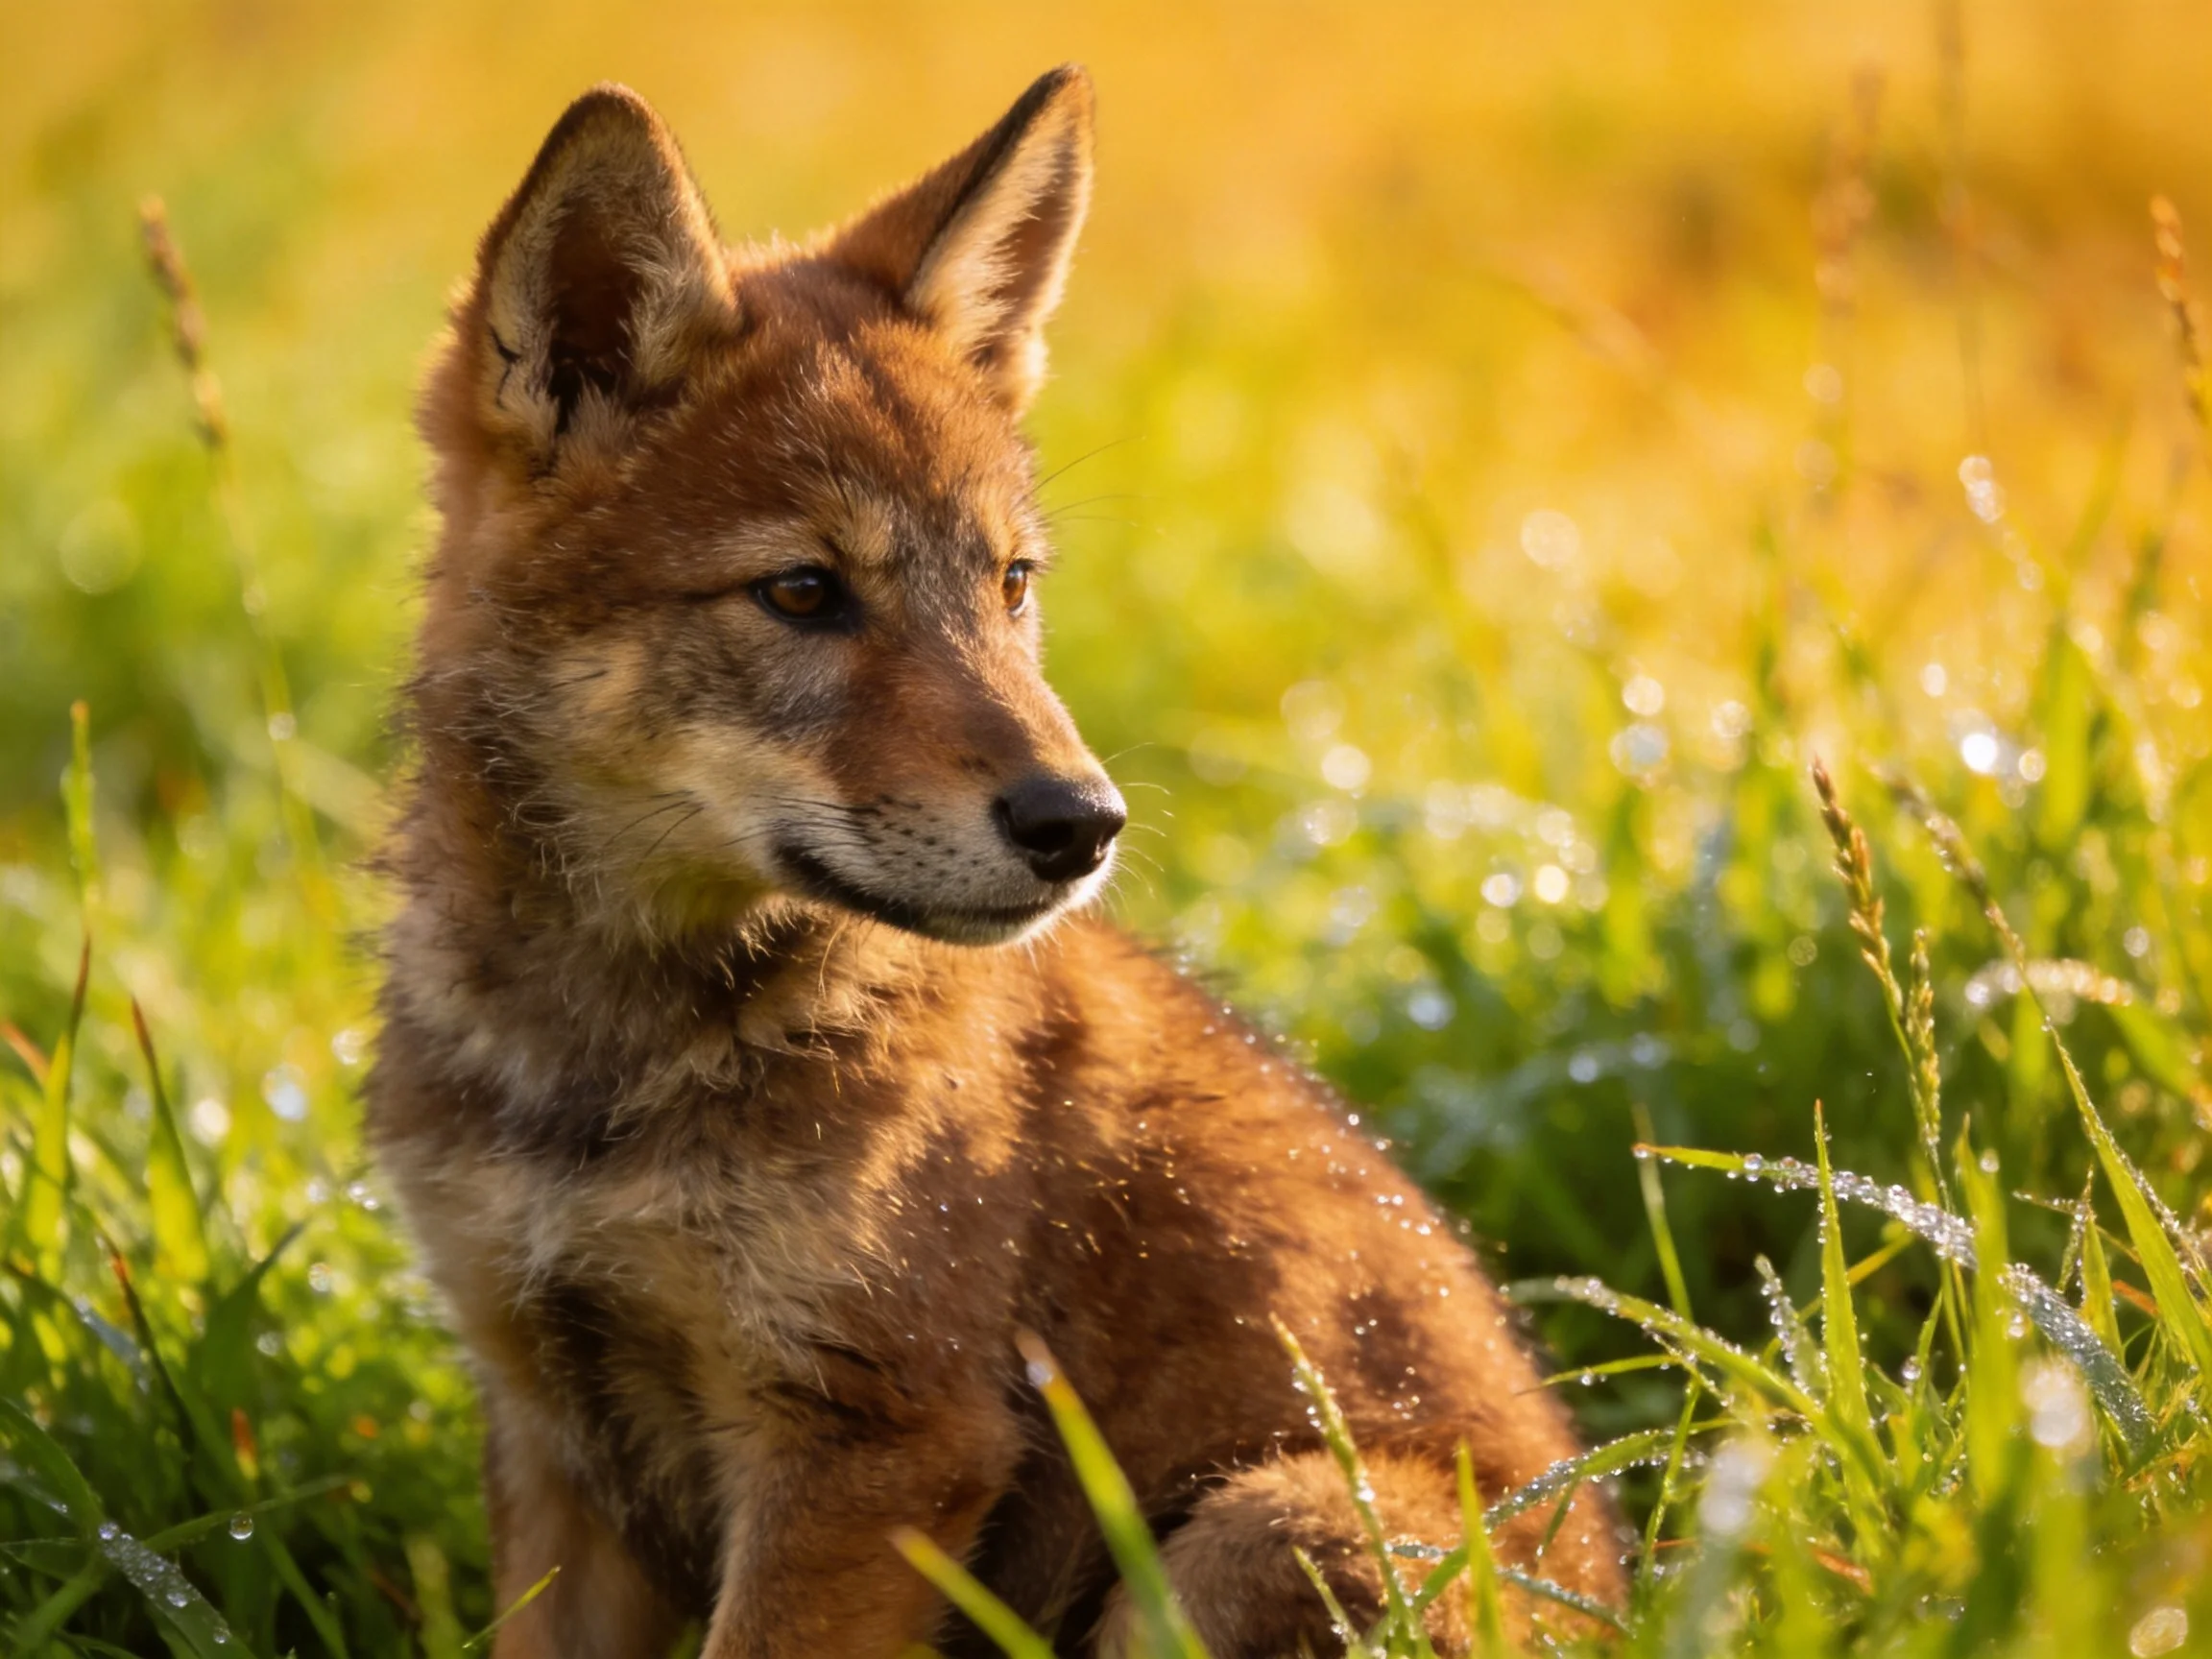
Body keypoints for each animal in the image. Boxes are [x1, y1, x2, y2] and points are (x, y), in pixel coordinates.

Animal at [369, 65, 1623, 1658]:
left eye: (1010, 584)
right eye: (803, 592)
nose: (1080, 823)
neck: (599, 1079)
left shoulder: (877, 1434)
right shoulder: (546, 1420)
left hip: (1254, 1532)